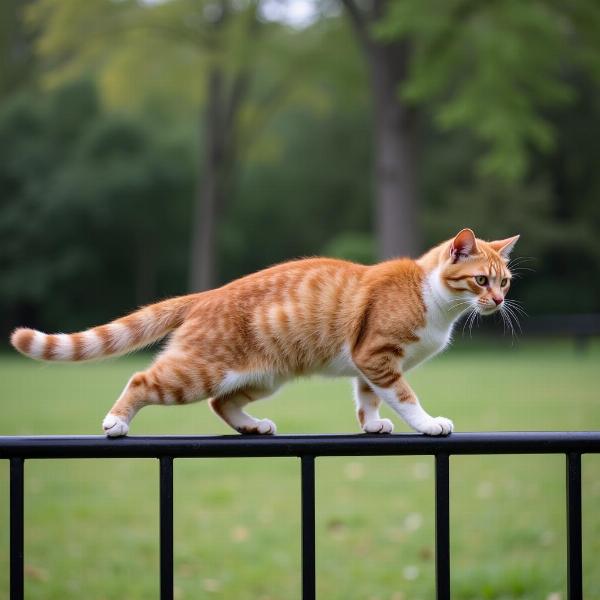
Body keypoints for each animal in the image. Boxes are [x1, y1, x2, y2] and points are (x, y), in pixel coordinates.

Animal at [9, 227, 516, 438]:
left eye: (505, 281)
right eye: (480, 280)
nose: (498, 302)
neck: (434, 298)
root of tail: (207, 294)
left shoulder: (368, 366)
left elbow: (367, 399)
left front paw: (372, 424)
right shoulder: (378, 356)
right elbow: (406, 398)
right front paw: (429, 423)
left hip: (262, 377)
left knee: (222, 404)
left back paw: (252, 426)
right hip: (197, 372)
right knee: (142, 380)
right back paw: (116, 422)